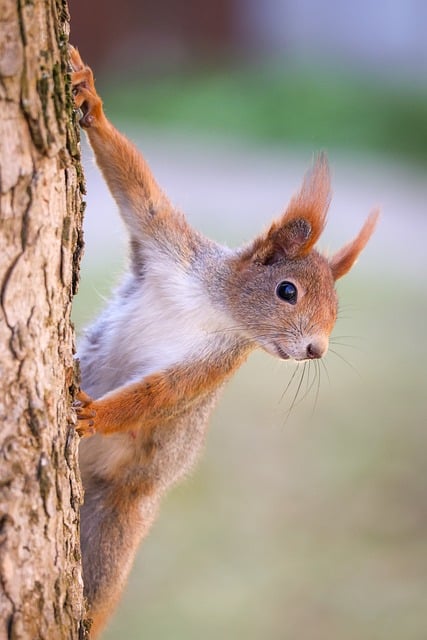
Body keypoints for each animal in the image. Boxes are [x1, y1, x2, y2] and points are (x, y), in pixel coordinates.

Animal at [69, 46, 379, 637]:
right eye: (287, 291)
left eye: (336, 311)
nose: (317, 350)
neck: (214, 305)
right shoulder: (167, 245)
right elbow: (137, 191)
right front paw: (90, 103)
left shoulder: (216, 361)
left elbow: (164, 392)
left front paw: (94, 416)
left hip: (115, 514)